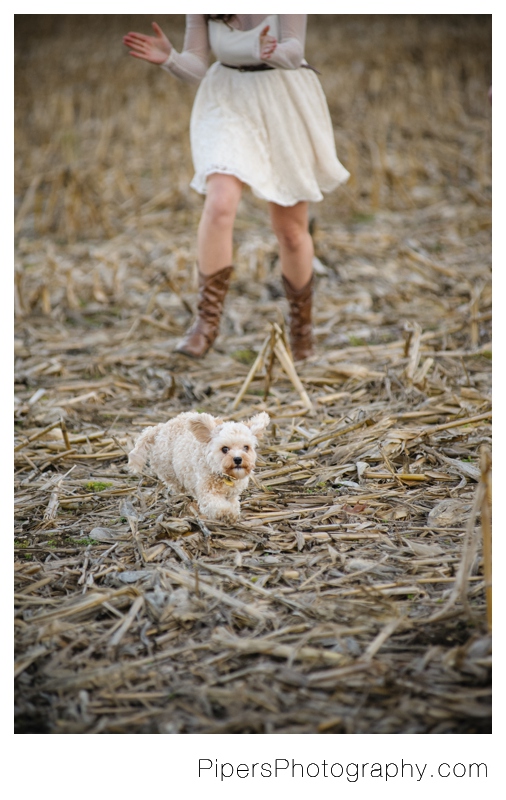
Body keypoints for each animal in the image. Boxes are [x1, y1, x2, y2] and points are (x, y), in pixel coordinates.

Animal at [127, 410, 268, 520]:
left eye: (246, 447)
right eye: (224, 449)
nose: (238, 459)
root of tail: (161, 428)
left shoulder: (232, 494)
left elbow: (233, 503)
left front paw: (233, 511)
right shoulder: (207, 492)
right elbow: (217, 506)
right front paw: (227, 513)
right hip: (168, 469)